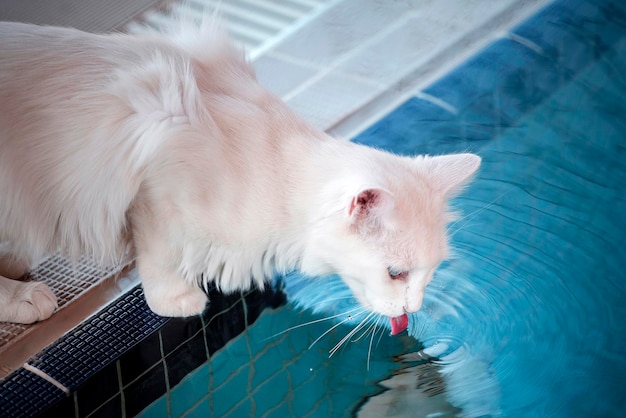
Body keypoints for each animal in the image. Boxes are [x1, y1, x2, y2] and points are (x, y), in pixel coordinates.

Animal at [0, 18, 478, 326]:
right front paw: (175, 299)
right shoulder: (157, 181)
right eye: (396, 273)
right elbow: (159, 256)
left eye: (430, 272)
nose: (414, 310)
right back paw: (25, 295)